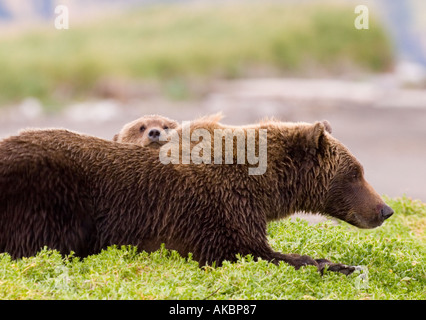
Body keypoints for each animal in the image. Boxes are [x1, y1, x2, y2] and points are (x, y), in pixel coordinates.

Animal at [0, 120, 392, 276]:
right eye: (356, 172)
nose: (385, 210)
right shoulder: (214, 207)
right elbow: (243, 250)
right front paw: (341, 265)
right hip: (48, 192)